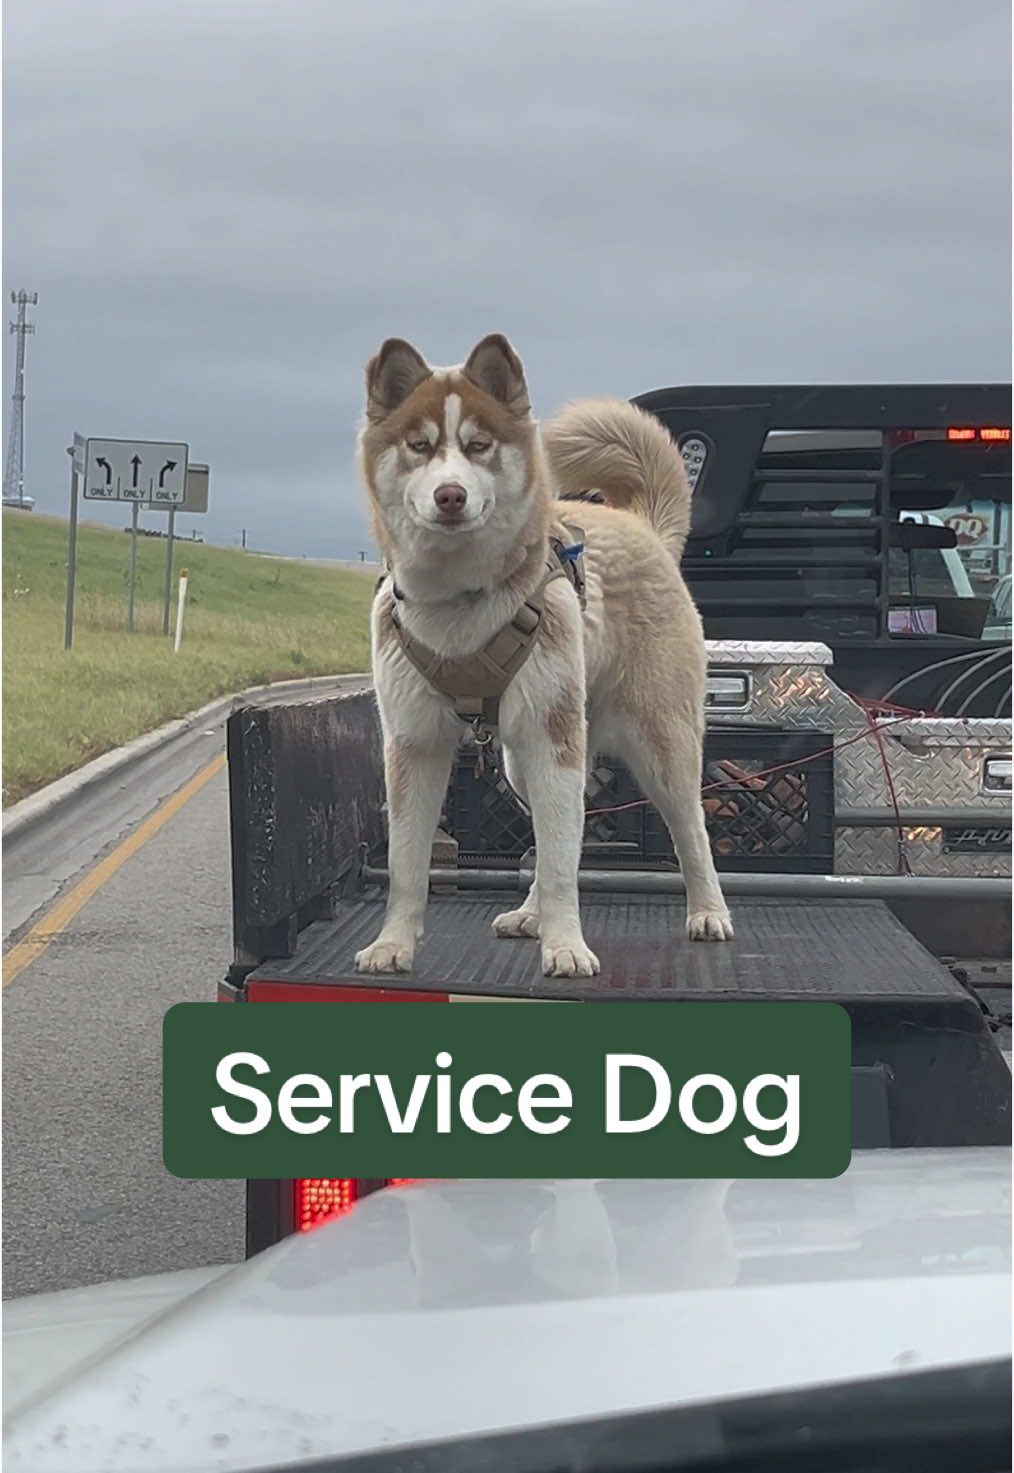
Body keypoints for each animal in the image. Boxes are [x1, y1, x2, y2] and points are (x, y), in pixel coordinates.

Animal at [355, 335, 728, 978]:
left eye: (478, 445)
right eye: (419, 446)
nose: (450, 495)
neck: (460, 603)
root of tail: (639, 526)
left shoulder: (553, 739)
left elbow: (558, 866)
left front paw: (567, 947)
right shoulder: (413, 744)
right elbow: (407, 865)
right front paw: (393, 944)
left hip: (655, 744)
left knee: (687, 829)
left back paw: (709, 911)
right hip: (521, 760)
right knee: (554, 835)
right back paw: (530, 915)